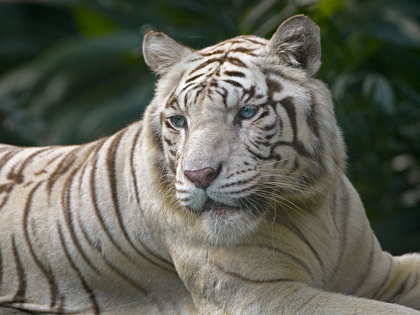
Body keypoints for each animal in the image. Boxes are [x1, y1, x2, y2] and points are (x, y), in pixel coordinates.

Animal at [0, 14, 420, 315]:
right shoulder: (263, 295)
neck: (310, 206)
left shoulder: (380, 272)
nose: (199, 175)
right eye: (178, 121)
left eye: (247, 112)